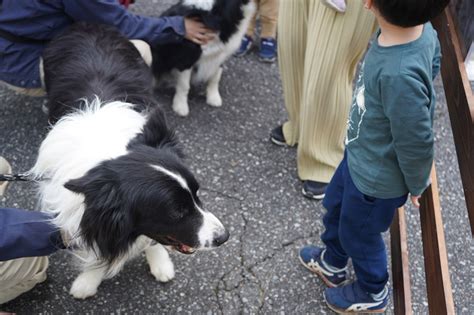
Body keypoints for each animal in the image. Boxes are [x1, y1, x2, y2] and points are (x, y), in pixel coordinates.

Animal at [32, 22, 229, 302]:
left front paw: (159, 262)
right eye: (177, 212)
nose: (224, 237)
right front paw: (89, 279)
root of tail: (87, 24)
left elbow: (151, 239)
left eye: (197, 194)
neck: (105, 148)